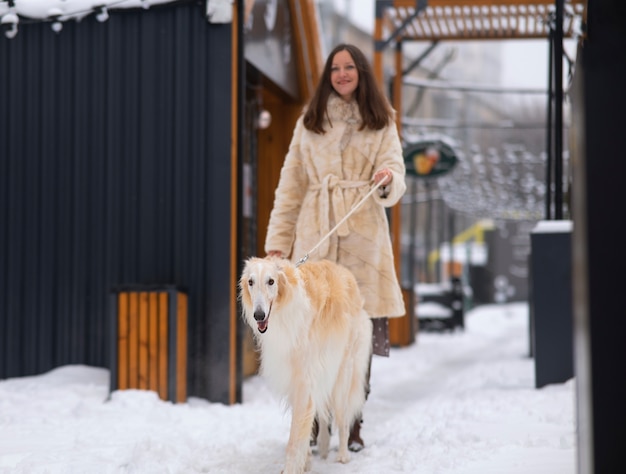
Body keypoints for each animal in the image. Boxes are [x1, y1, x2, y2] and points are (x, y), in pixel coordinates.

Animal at [238, 258, 370, 472]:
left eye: (271, 281)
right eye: (251, 282)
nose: (259, 315)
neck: (283, 310)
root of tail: (348, 274)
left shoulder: (304, 380)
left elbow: (294, 438)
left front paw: (291, 469)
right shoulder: (295, 380)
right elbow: (303, 429)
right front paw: (305, 461)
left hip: (343, 373)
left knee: (342, 419)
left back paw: (343, 455)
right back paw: (323, 447)